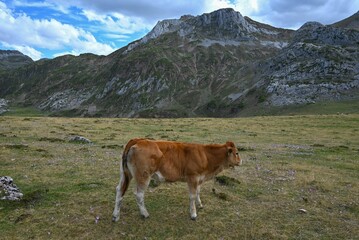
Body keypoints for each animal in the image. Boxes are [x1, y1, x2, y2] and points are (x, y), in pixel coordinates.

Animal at [112, 138, 242, 220]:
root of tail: (138, 140)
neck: (205, 155)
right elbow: (192, 196)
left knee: (119, 190)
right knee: (139, 194)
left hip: (125, 173)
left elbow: (198, 192)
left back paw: (115, 216)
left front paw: (200, 204)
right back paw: (145, 214)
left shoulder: (199, 178)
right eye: (236, 153)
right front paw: (193, 214)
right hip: (143, 176)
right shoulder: (193, 177)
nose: (241, 161)